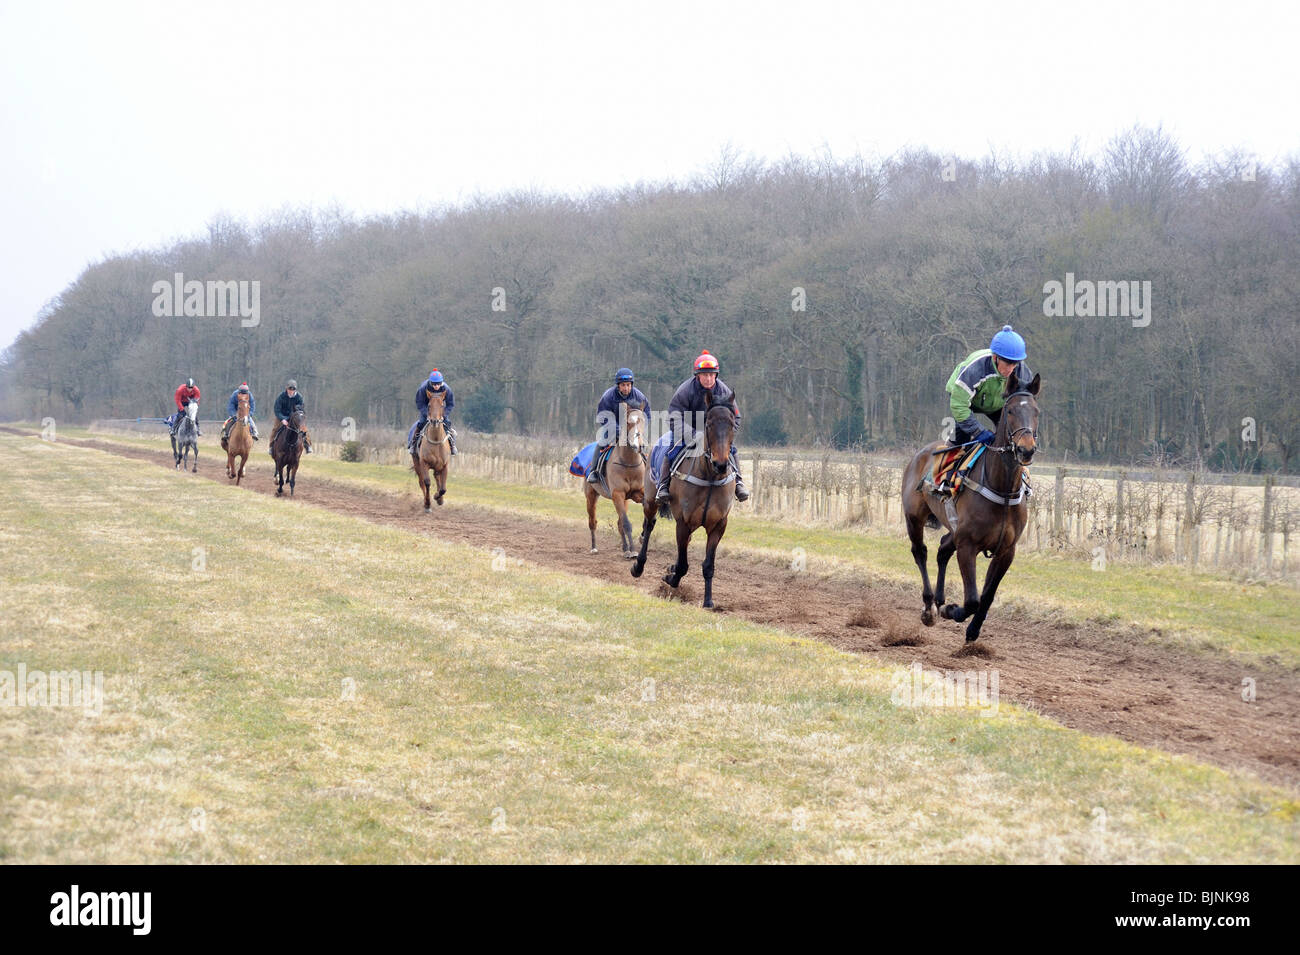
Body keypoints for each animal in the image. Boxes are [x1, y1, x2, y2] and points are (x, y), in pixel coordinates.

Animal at [590, 402, 650, 561]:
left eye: (643, 421)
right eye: (628, 423)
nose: (639, 445)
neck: (628, 463)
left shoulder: (638, 494)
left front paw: (641, 537)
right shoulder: (618, 494)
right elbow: (627, 524)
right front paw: (633, 551)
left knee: (619, 523)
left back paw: (625, 548)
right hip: (591, 495)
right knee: (593, 522)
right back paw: (594, 547)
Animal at [631, 392, 738, 608]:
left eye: (732, 424)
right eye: (709, 424)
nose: (721, 464)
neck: (709, 477)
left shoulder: (718, 525)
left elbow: (708, 564)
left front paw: (708, 601)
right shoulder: (683, 522)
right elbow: (683, 565)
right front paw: (671, 577)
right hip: (650, 500)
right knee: (649, 526)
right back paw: (639, 565)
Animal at [899, 369, 1040, 647]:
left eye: (1037, 411)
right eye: (1010, 410)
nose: (1025, 449)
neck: (1002, 489)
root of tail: (920, 453)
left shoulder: (1006, 550)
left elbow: (986, 596)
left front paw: (973, 630)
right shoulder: (967, 545)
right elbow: (972, 599)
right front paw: (951, 610)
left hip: (953, 529)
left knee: (943, 548)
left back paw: (939, 599)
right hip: (914, 517)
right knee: (920, 552)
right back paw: (930, 606)